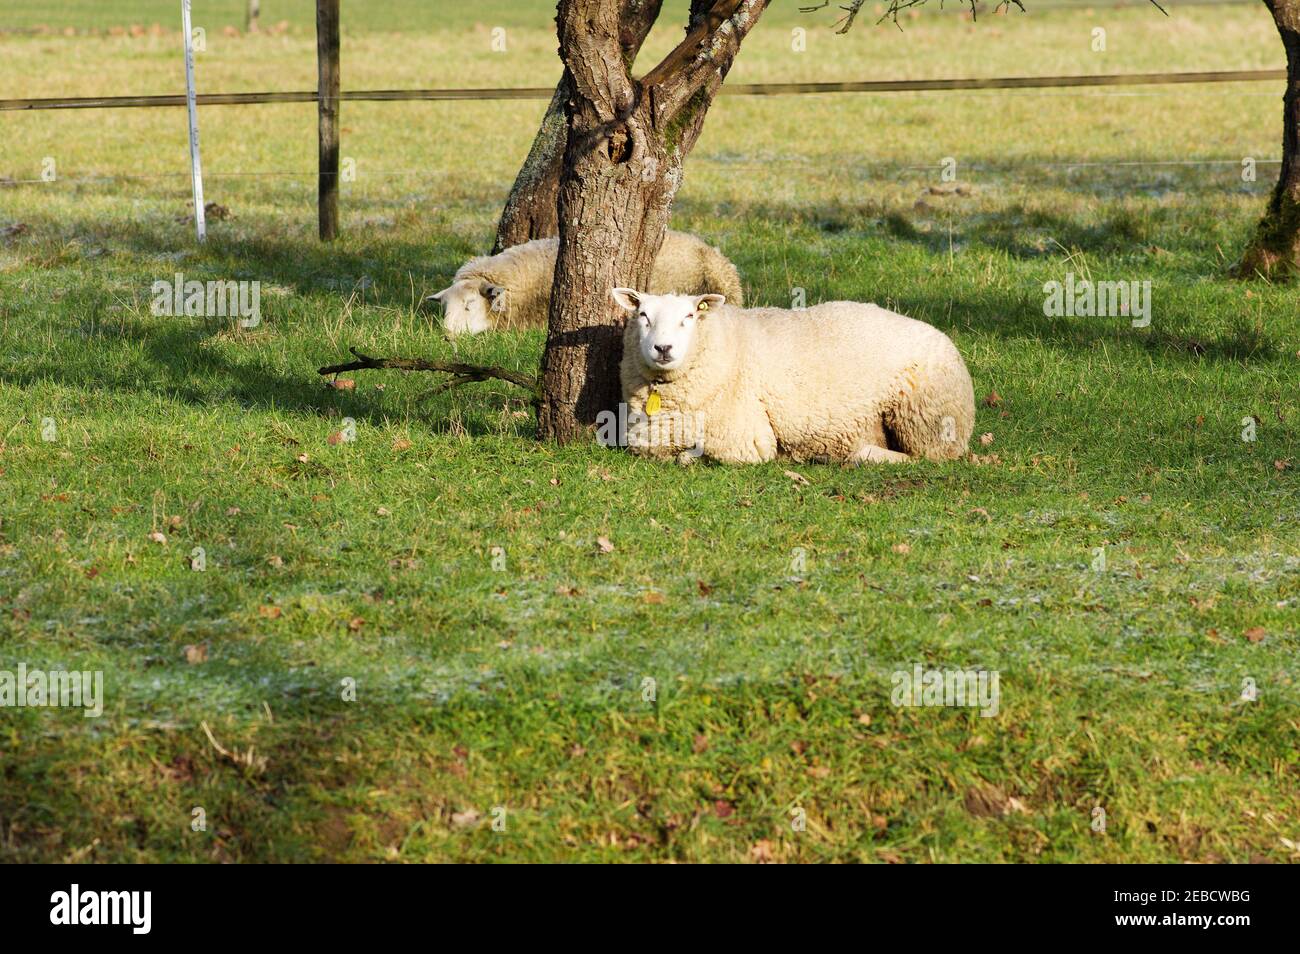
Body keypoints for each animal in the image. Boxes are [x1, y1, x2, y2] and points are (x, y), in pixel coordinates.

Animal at [610, 288, 975, 465]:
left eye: (688, 316)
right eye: (642, 315)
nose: (663, 348)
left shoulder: (746, 441)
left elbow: (692, 457)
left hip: (925, 418)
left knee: (928, 458)